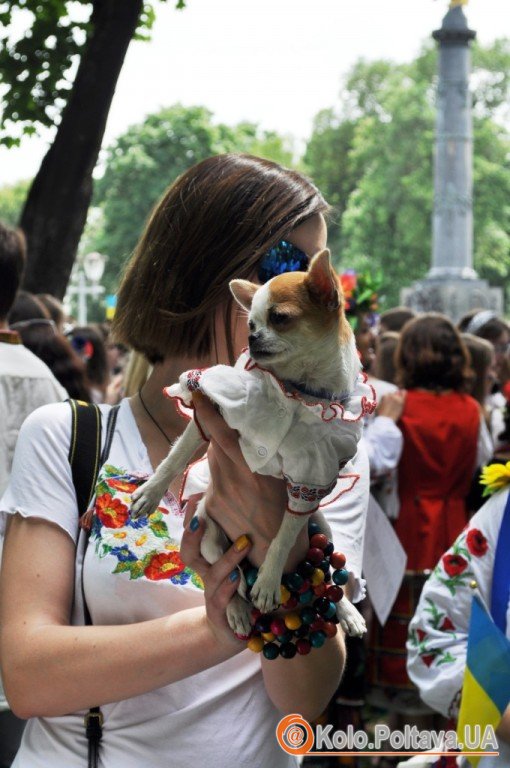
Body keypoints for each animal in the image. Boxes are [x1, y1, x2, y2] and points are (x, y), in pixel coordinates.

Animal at [131, 250, 370, 636]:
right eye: (251, 324)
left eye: (280, 318)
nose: (253, 336)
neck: (298, 390)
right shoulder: (212, 411)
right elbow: (176, 457)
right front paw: (150, 492)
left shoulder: (311, 477)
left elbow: (284, 536)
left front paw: (269, 581)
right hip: (208, 535)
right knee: (228, 578)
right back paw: (238, 609)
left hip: (320, 524)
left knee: (327, 570)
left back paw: (347, 611)